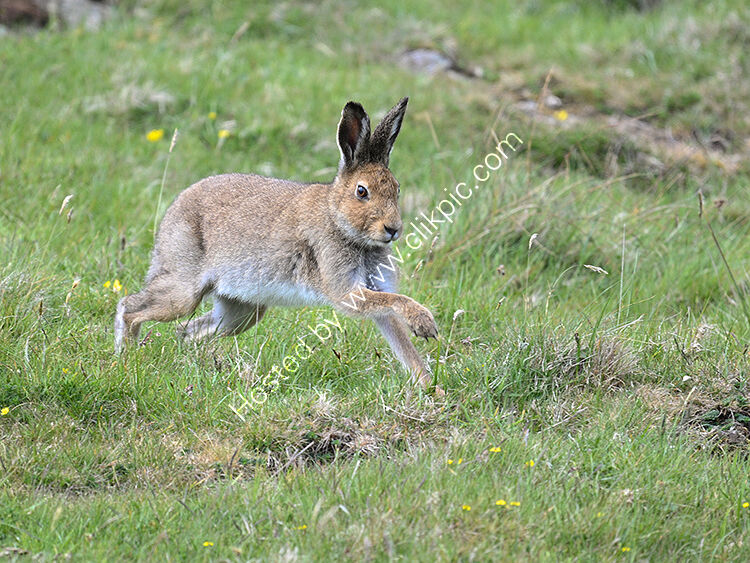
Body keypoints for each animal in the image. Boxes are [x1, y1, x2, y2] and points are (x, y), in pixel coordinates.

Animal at [115, 97, 442, 394]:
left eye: (396, 188)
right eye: (362, 192)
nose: (393, 229)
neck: (339, 220)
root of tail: (171, 215)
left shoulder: (376, 290)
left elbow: (400, 338)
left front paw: (432, 390)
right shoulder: (346, 291)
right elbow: (393, 303)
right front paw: (425, 323)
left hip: (241, 313)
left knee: (186, 331)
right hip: (183, 291)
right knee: (130, 307)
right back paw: (125, 356)